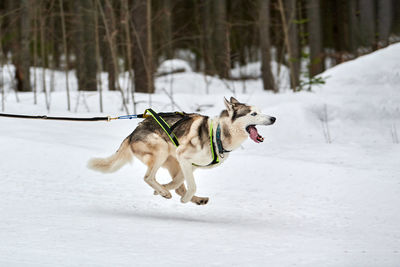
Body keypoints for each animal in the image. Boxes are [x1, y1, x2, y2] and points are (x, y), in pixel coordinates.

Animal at [87, 98, 276, 205]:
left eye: (260, 111)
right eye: (253, 114)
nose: (273, 118)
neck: (218, 134)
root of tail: (133, 132)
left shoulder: (190, 165)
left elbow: (179, 184)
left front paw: (163, 189)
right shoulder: (184, 158)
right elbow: (191, 186)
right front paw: (173, 195)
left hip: (173, 162)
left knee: (174, 185)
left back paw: (192, 198)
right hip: (162, 150)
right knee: (148, 177)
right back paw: (166, 192)